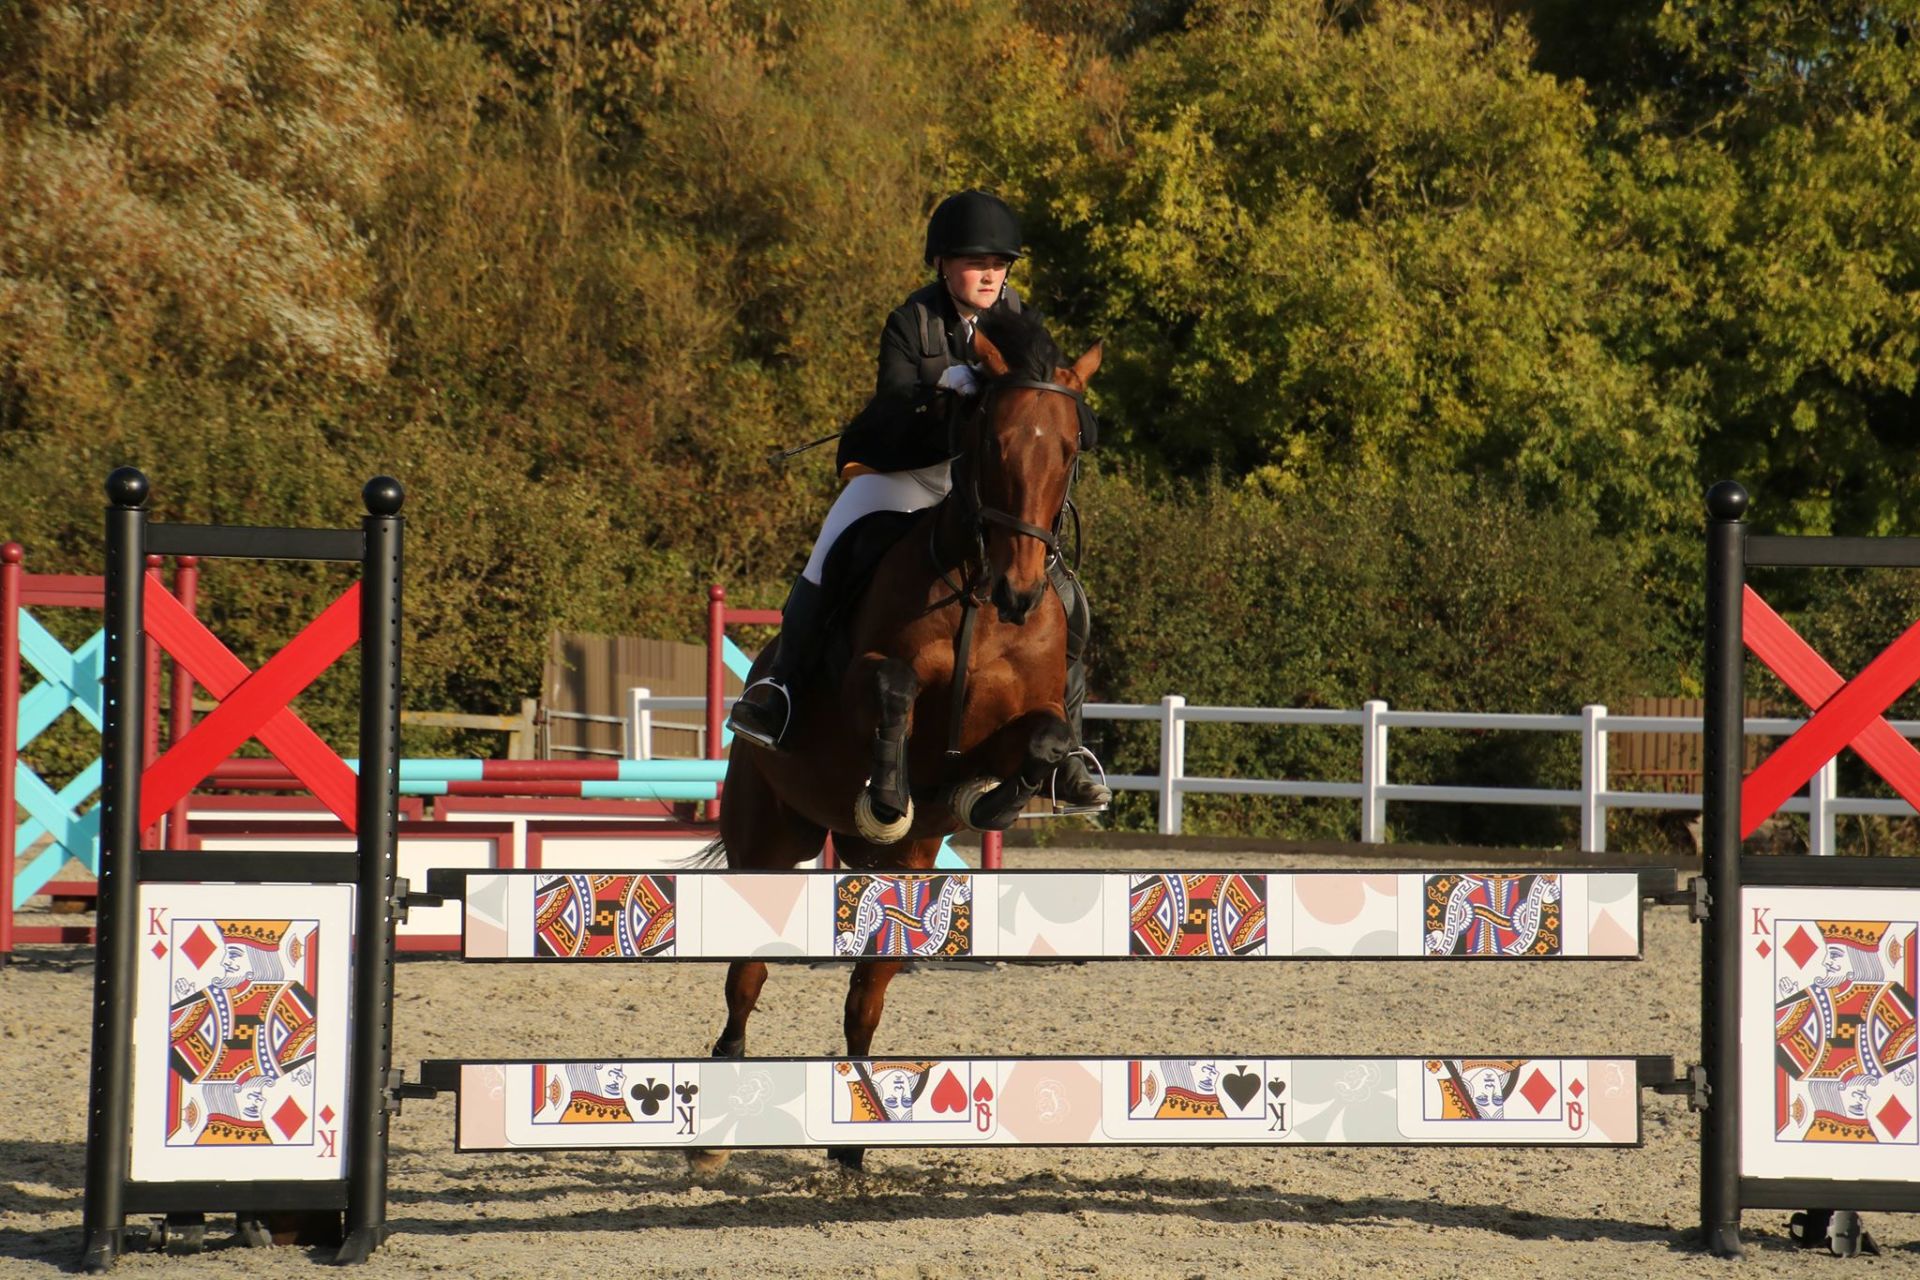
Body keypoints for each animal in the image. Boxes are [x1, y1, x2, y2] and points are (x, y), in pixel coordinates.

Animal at [689, 309, 1101, 1174]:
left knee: (865, 996)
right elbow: (895, 688)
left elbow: (1043, 741)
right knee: (746, 978)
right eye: (992, 442)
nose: (1021, 593)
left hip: (900, 877)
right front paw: (886, 792)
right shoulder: (866, 685)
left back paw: (855, 1134)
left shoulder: (1010, 726)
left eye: (1068, 449)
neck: (976, 587)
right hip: (767, 839)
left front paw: (995, 801)